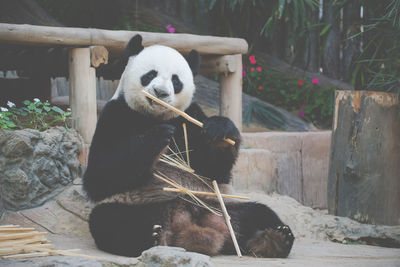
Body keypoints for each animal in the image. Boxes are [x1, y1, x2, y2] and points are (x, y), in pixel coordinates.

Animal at [83, 34, 294, 258]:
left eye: (176, 80)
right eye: (150, 74)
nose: (160, 92)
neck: (154, 117)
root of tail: (188, 226)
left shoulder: (190, 117)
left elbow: (215, 170)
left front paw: (220, 131)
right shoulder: (115, 114)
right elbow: (100, 174)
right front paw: (158, 136)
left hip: (220, 205)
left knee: (259, 214)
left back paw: (275, 239)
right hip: (136, 205)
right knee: (112, 223)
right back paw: (149, 235)